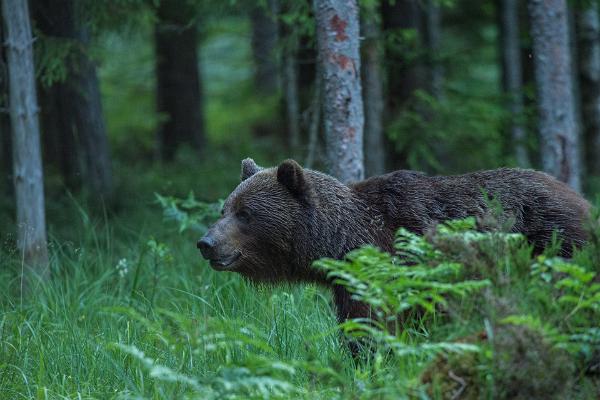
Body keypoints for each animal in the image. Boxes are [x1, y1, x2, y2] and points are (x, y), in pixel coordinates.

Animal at [196, 159, 592, 324]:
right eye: (224, 208)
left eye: (246, 213)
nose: (206, 243)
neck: (340, 241)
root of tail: (581, 197)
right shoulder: (348, 282)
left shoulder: (387, 266)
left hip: (553, 242)